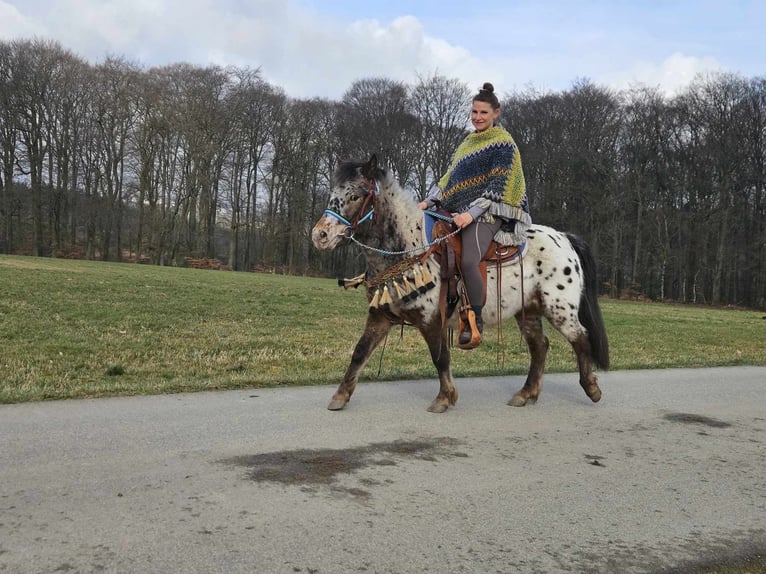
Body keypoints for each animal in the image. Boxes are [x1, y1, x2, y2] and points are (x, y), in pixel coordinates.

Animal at [312, 154, 612, 414]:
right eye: (333, 192)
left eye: (355, 195)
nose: (320, 235)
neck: (408, 247)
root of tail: (564, 238)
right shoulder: (380, 316)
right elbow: (360, 352)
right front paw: (340, 396)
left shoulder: (432, 318)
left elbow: (440, 356)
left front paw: (444, 398)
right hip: (528, 312)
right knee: (540, 346)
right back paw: (526, 393)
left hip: (560, 309)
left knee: (580, 338)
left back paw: (592, 389)